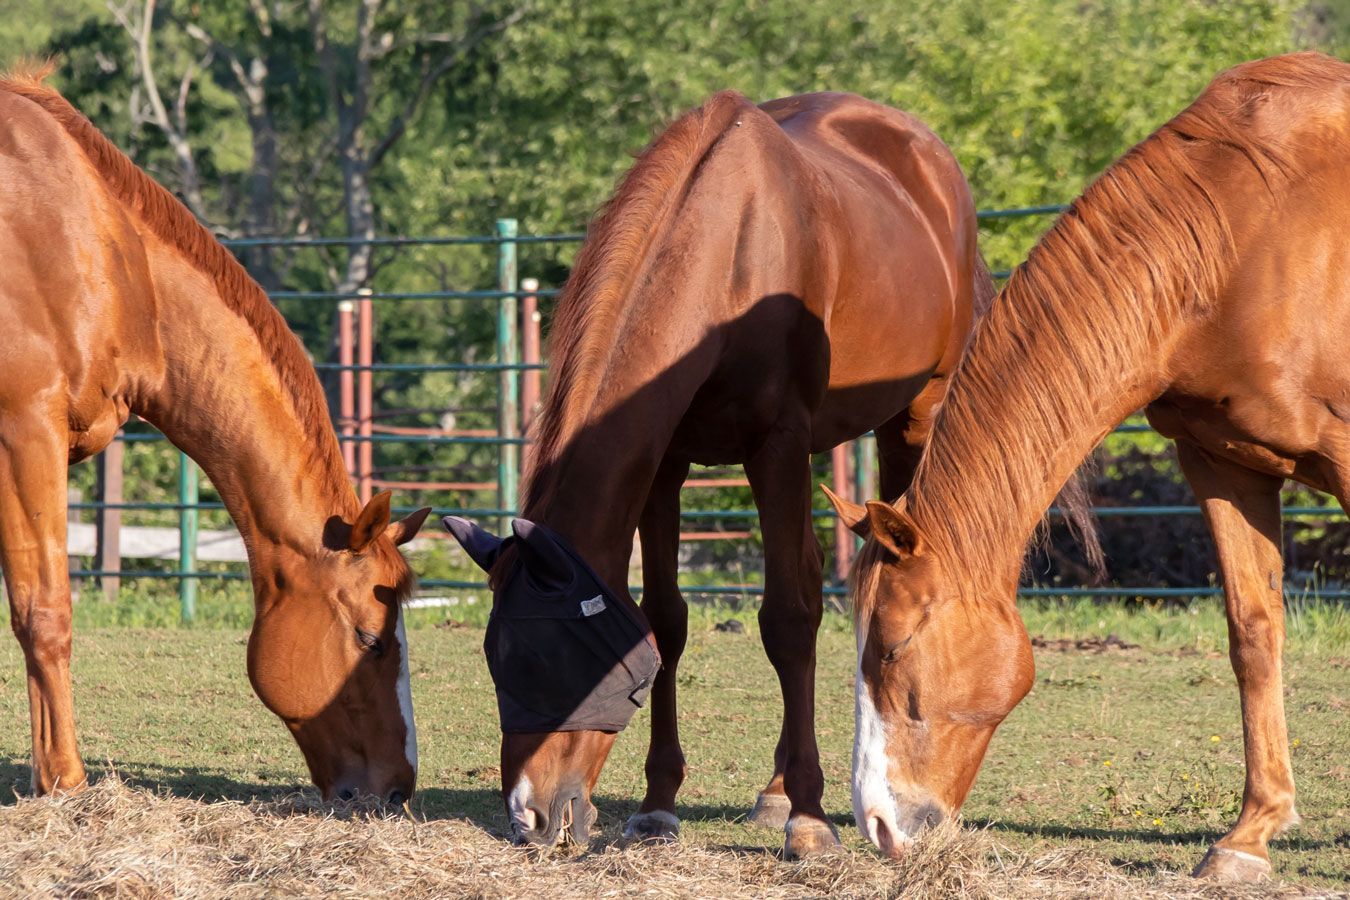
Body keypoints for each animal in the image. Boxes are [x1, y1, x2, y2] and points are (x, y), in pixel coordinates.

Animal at [0, 65, 431, 802]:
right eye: (370, 639)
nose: (399, 786)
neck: (102, 248)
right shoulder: (24, 434)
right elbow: (45, 611)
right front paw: (64, 783)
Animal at [443, 88, 1024, 857]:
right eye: (497, 660)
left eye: (557, 659)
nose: (529, 817)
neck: (732, 253)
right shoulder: (665, 463)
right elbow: (667, 620)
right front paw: (659, 805)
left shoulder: (777, 447)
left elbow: (787, 617)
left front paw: (809, 821)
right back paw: (772, 790)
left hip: (913, 418)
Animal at [829, 52, 1349, 881]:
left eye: (892, 647)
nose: (878, 824)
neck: (1252, 238)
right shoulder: (1223, 465)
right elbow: (1253, 633)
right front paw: (1248, 836)